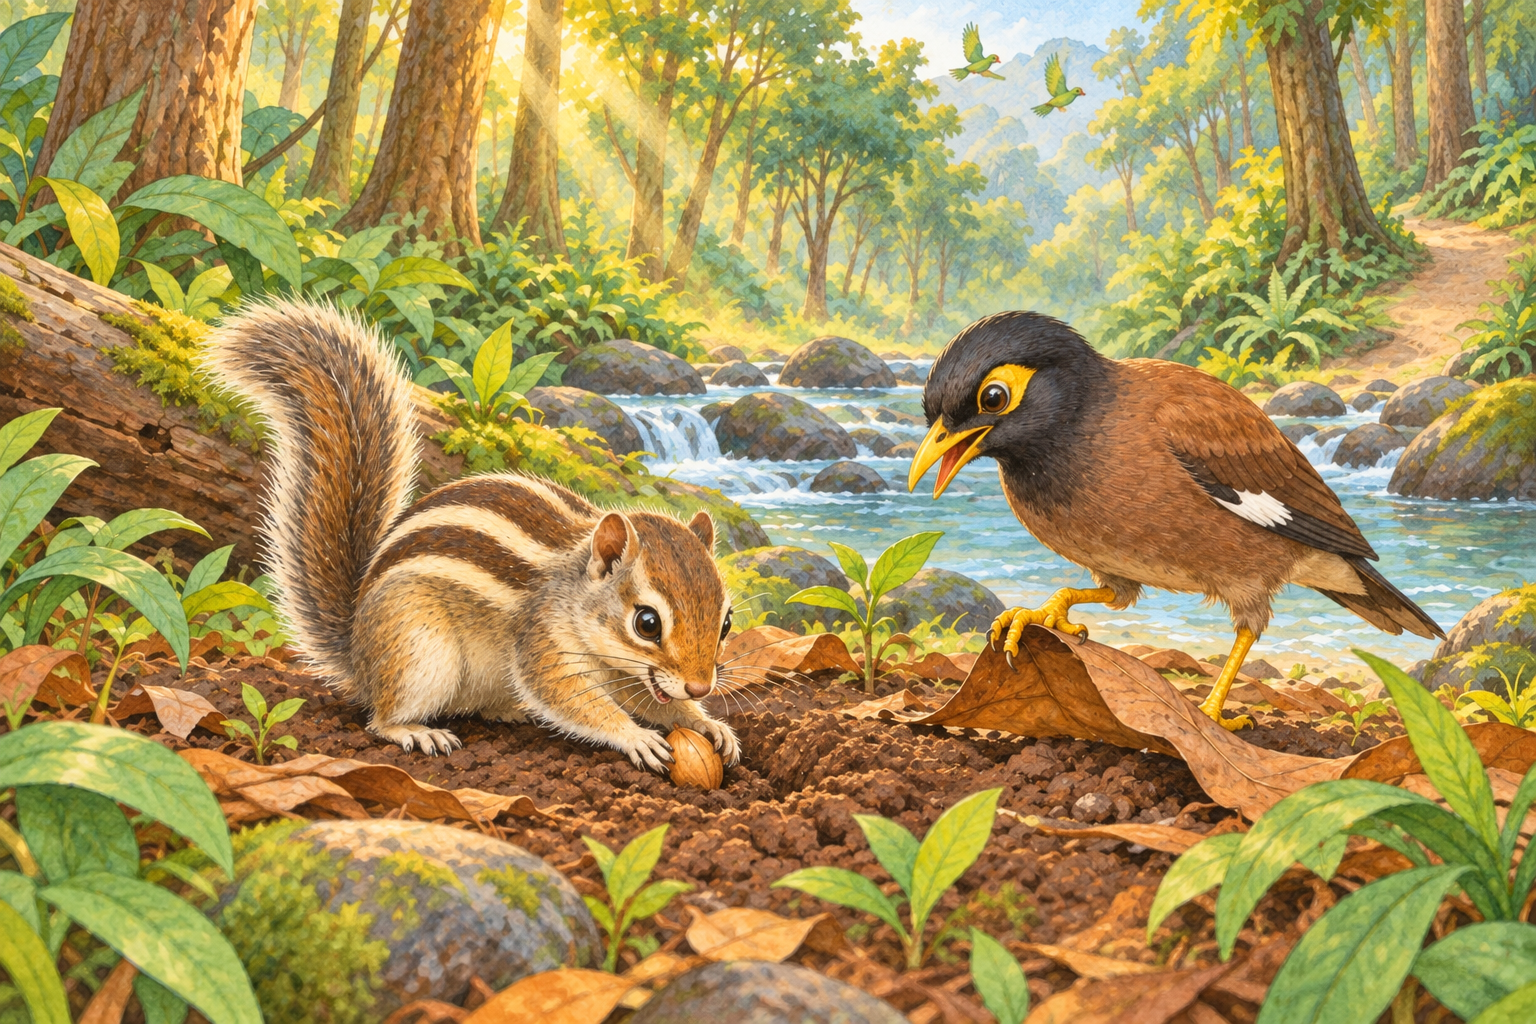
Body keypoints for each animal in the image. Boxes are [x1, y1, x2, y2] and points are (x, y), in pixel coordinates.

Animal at [203, 300, 740, 771]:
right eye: (647, 624)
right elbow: (568, 698)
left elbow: (655, 701)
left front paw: (708, 725)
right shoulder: (542, 641)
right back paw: (417, 731)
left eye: (727, 623)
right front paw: (636, 736)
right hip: (417, 653)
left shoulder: (630, 674)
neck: (575, 592)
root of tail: (357, 653)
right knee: (381, 718)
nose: (701, 687)